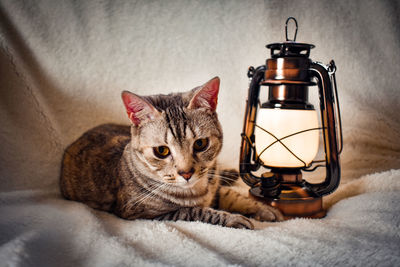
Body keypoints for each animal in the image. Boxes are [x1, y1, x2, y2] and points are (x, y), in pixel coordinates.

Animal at [61, 77, 282, 230]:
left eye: (200, 144)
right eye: (162, 151)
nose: (186, 173)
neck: (199, 190)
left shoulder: (215, 188)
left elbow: (233, 195)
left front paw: (264, 209)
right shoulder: (144, 213)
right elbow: (197, 211)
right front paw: (234, 218)